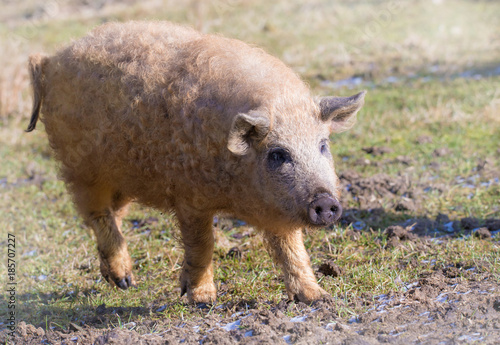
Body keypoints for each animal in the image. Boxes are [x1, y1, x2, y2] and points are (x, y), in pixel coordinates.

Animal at [26, 20, 364, 304]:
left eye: (323, 145)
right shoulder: (189, 197)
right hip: (79, 165)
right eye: (278, 154)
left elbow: (291, 248)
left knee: (113, 213)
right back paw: (125, 280)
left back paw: (122, 282)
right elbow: (203, 243)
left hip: (122, 176)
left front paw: (318, 298)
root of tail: (50, 61)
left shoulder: (278, 207)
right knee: (95, 213)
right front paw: (203, 301)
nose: (325, 202)